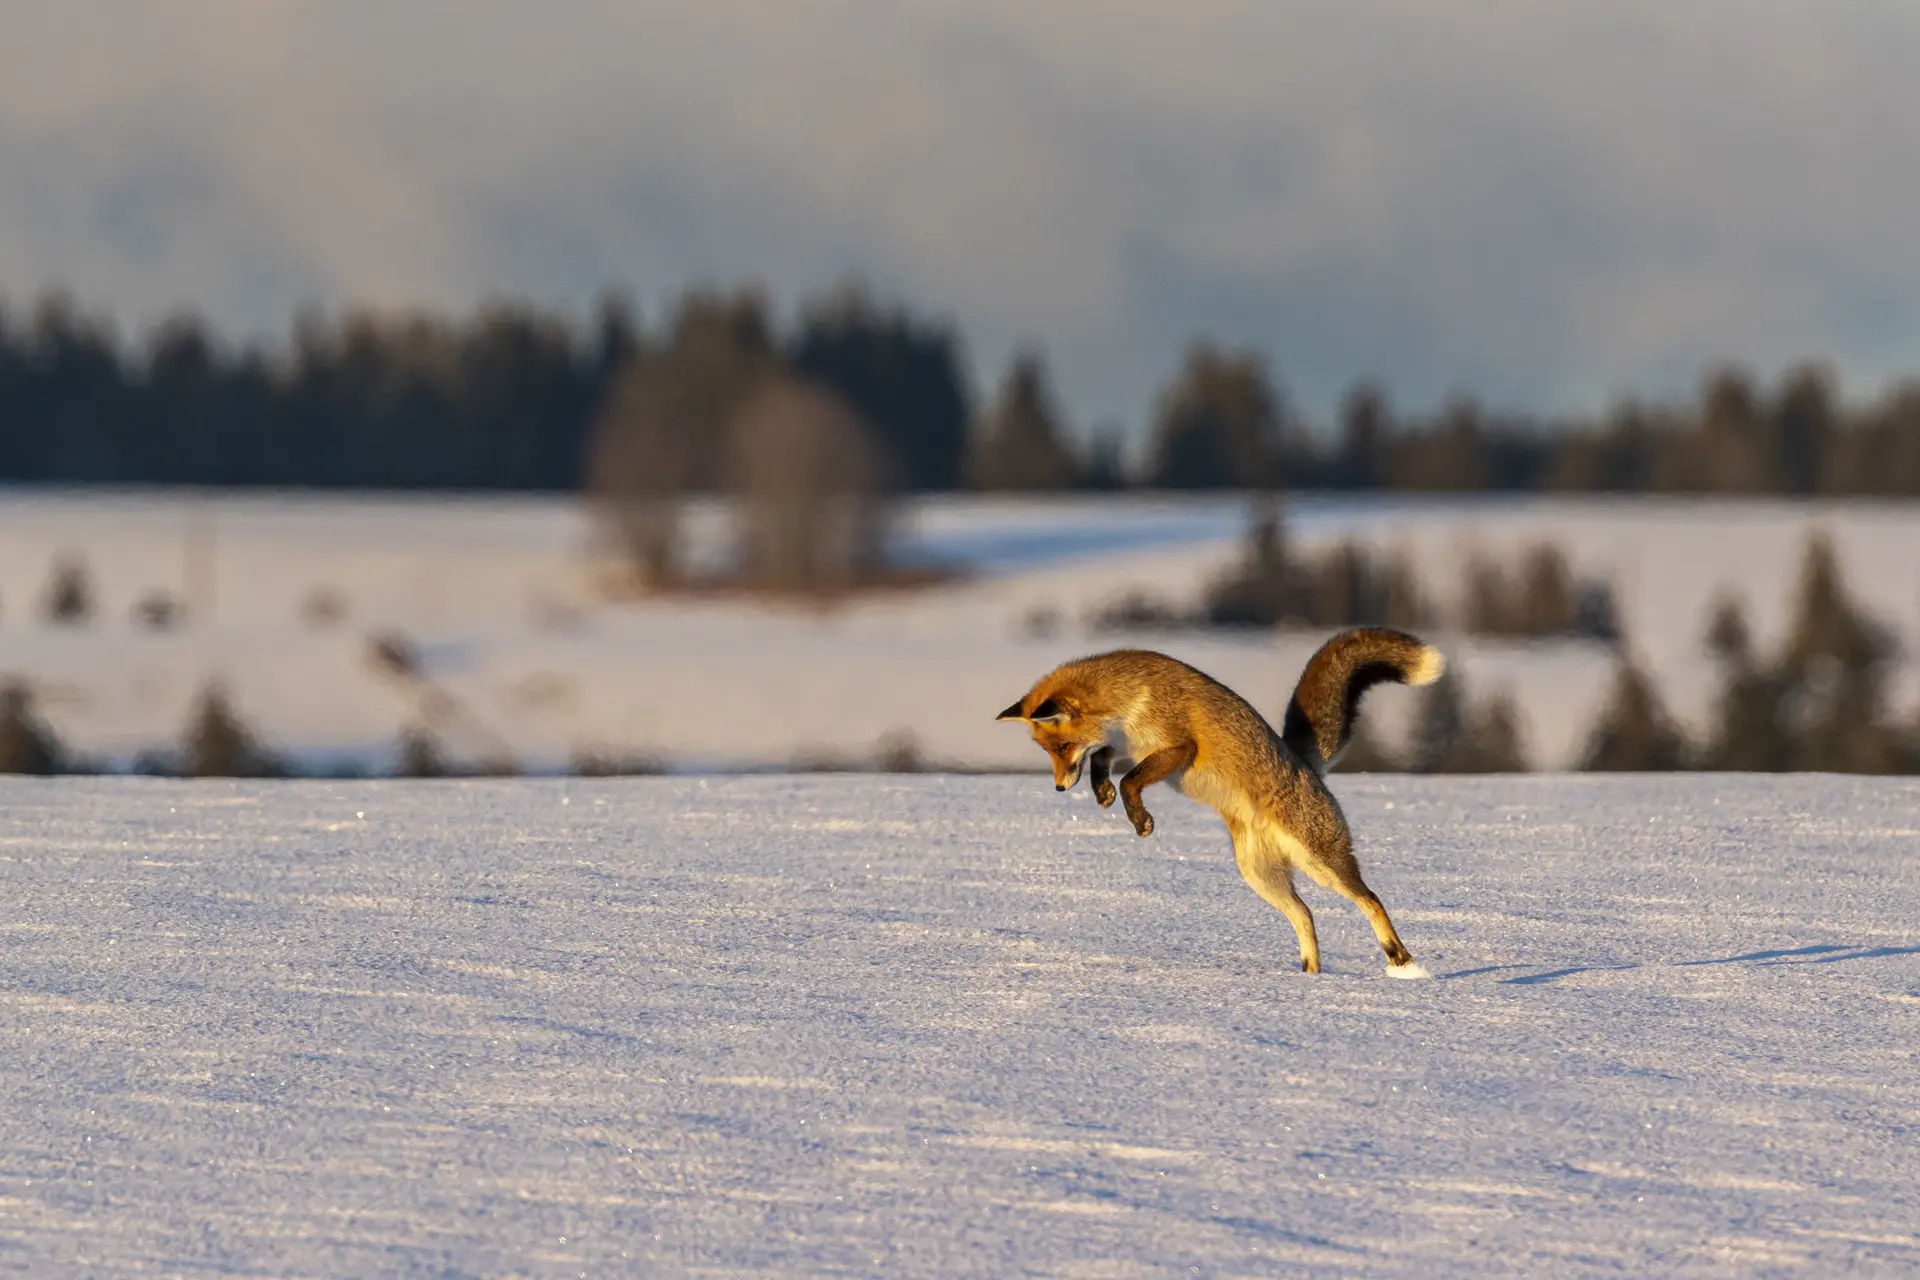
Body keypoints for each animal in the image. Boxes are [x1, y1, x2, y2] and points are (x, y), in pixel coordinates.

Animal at [996, 627, 1444, 978]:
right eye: (1047, 752)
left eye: (1062, 747)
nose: (1058, 788)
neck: (1130, 699)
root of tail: (1304, 763)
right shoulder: (1124, 745)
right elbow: (1105, 763)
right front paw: (1102, 792)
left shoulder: (1178, 746)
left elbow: (1130, 781)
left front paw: (1140, 819)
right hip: (1259, 876)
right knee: (1306, 916)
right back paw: (1309, 980)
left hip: (1319, 862)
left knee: (1371, 900)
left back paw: (1399, 959)